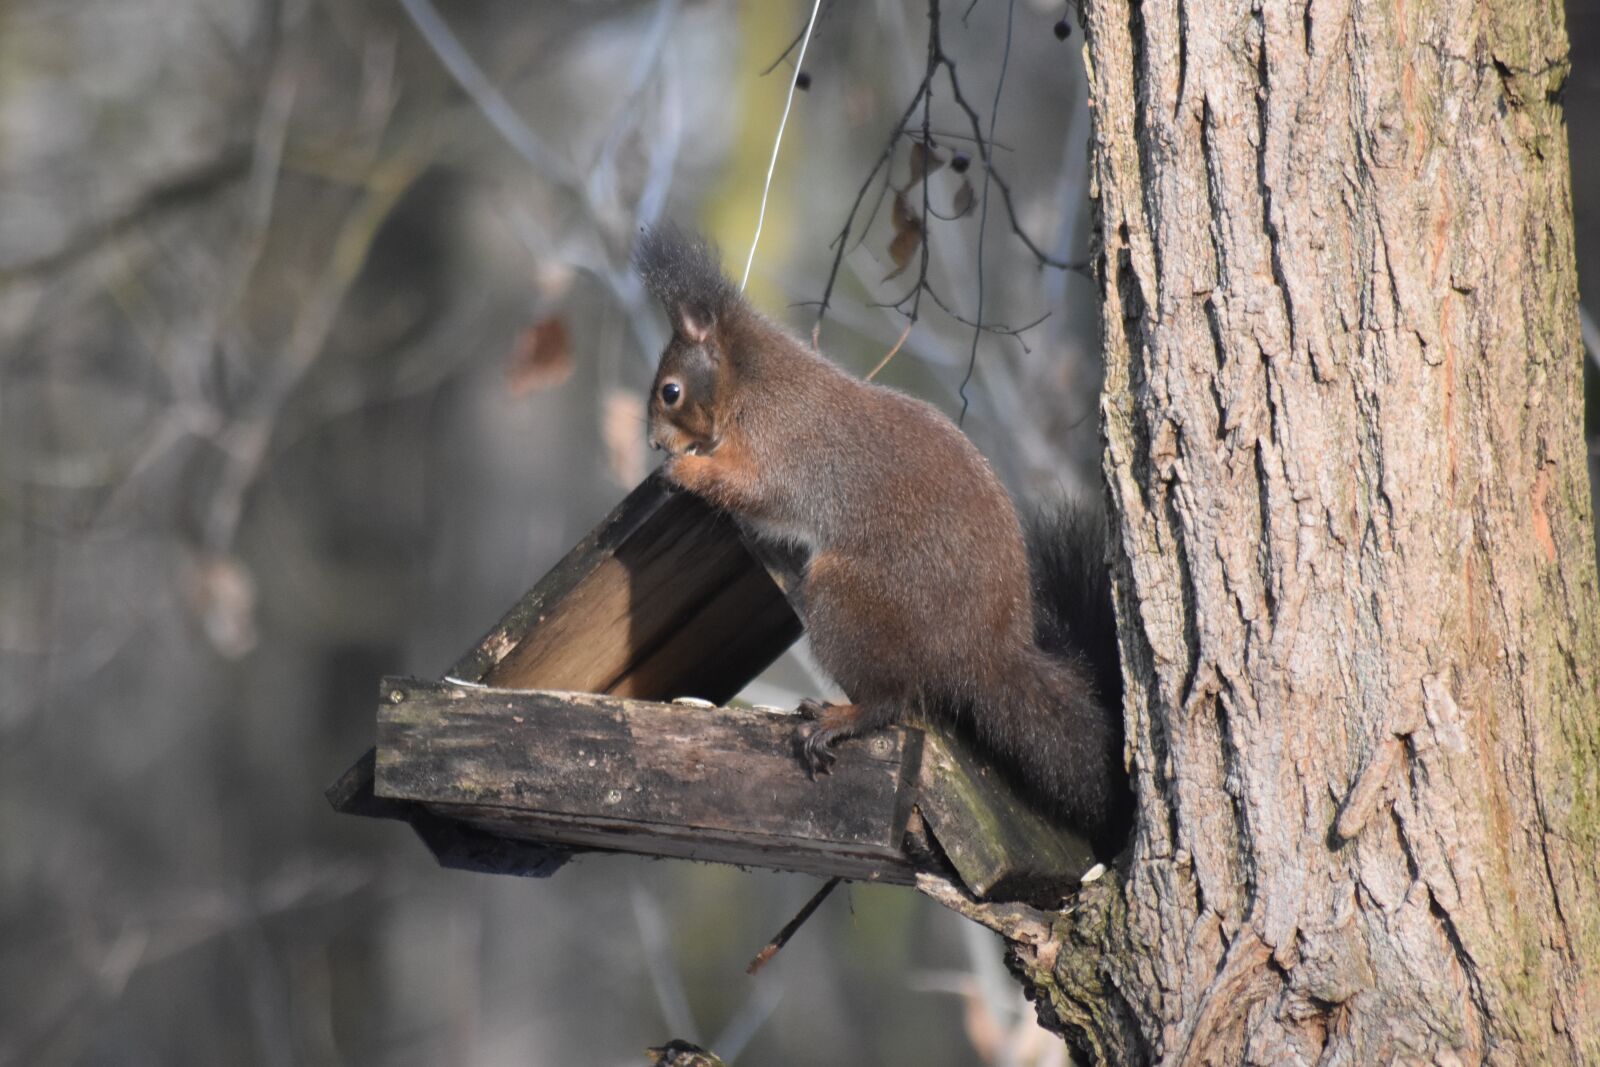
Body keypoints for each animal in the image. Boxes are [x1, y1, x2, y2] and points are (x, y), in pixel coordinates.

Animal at [633, 226, 1130, 849]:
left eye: (670, 392)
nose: (655, 443)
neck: (751, 379)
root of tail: (984, 652)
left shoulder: (779, 447)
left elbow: (755, 492)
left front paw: (685, 471)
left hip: (850, 597)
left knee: (893, 701)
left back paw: (841, 718)